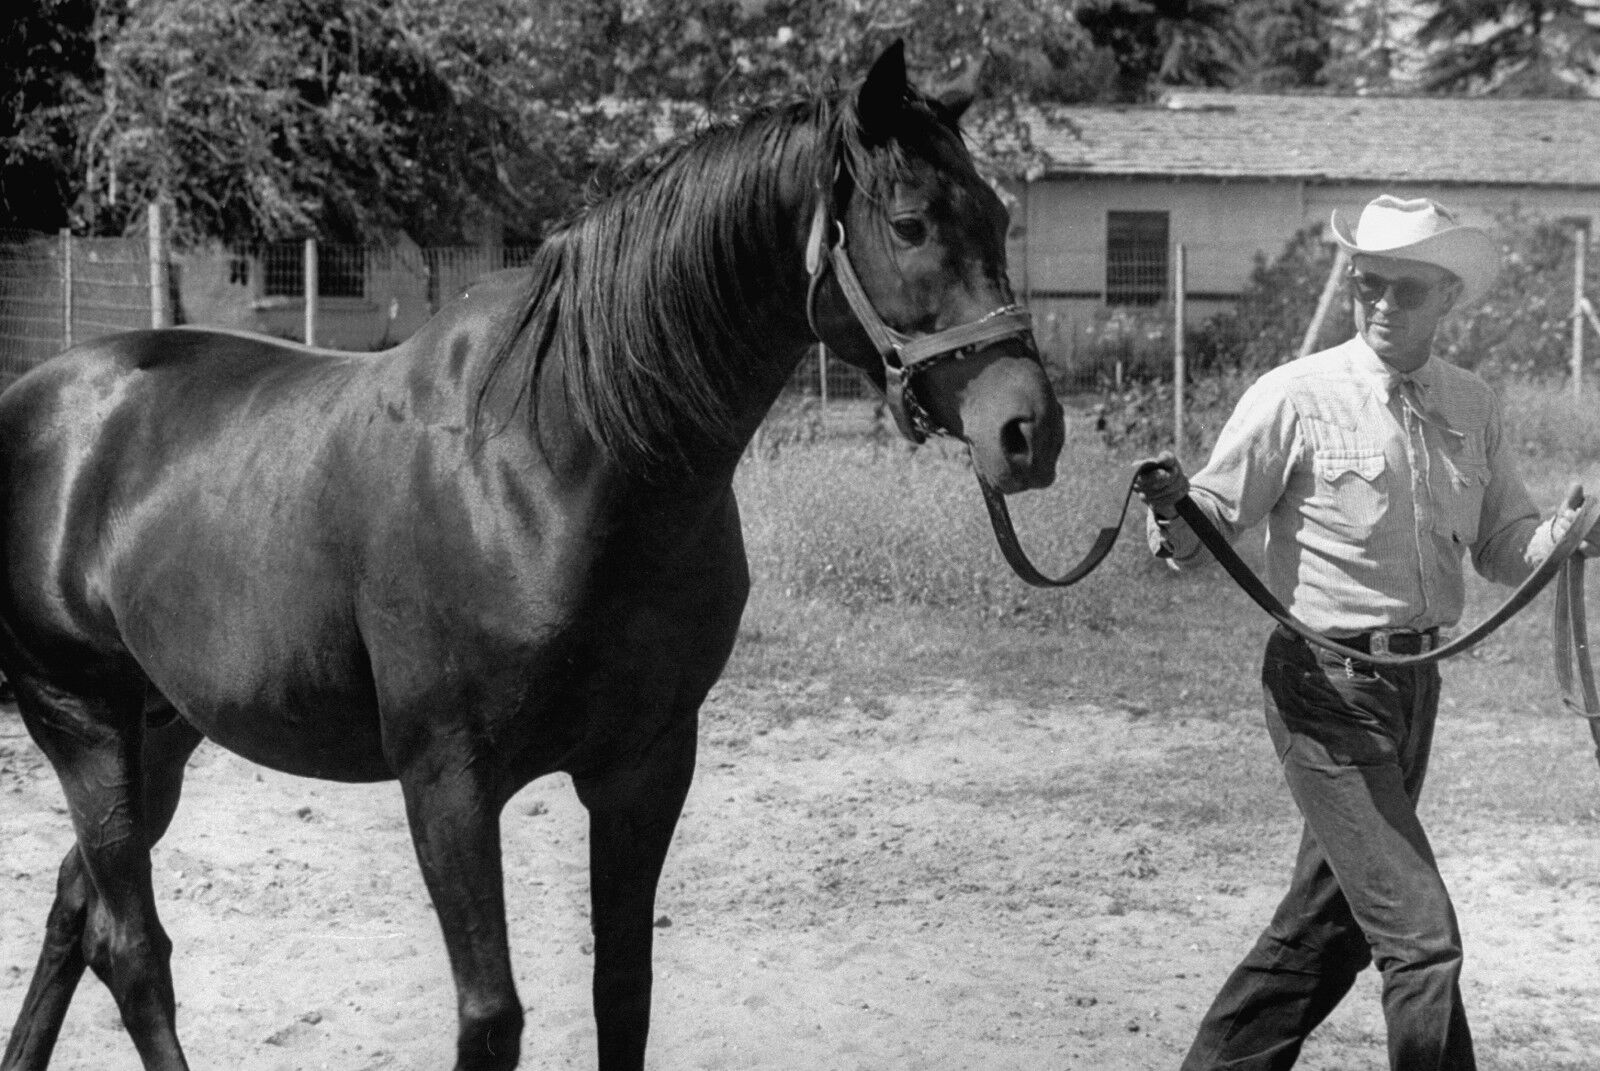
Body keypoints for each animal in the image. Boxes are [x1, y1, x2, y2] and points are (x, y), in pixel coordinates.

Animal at [3, 43, 1062, 1069]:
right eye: (913, 223)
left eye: (1002, 215)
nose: (1027, 431)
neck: (554, 461)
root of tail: (32, 403)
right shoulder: (448, 783)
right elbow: (491, 1018)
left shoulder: (645, 764)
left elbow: (623, 994)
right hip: (84, 723)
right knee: (132, 949)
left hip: (162, 730)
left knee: (76, 909)